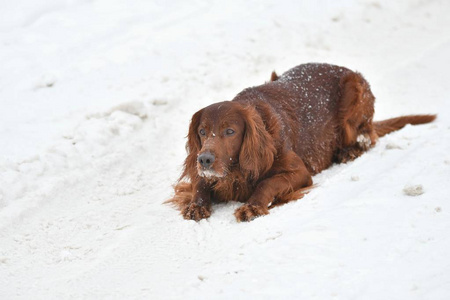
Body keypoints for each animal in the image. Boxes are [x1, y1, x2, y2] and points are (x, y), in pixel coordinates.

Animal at [166, 63, 436, 221]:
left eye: (230, 131)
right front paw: (196, 205)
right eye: (202, 131)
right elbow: (200, 182)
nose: (205, 159)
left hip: (354, 91)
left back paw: (348, 151)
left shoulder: (300, 172)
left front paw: (252, 206)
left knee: (365, 138)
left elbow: (267, 183)